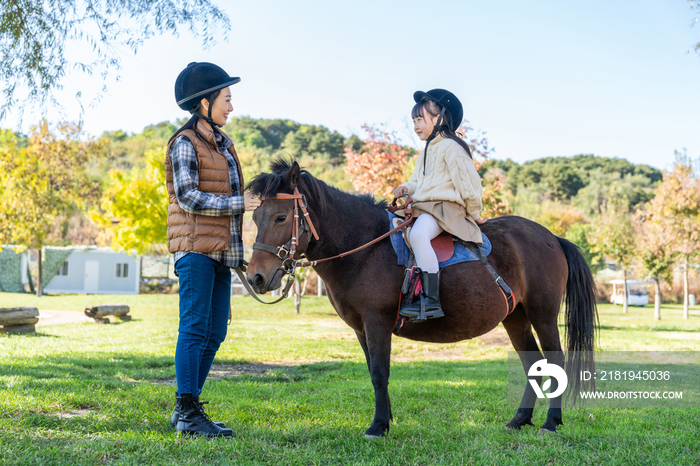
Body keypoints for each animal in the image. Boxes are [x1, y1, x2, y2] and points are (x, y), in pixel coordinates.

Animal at [246, 159, 596, 436]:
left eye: (280, 217)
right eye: (254, 218)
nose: (256, 278)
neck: (364, 248)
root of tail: (552, 237)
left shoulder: (376, 322)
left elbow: (380, 372)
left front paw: (378, 426)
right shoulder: (361, 329)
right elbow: (374, 371)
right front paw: (386, 420)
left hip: (542, 315)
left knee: (555, 362)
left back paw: (551, 422)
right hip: (516, 318)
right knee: (533, 364)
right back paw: (520, 419)